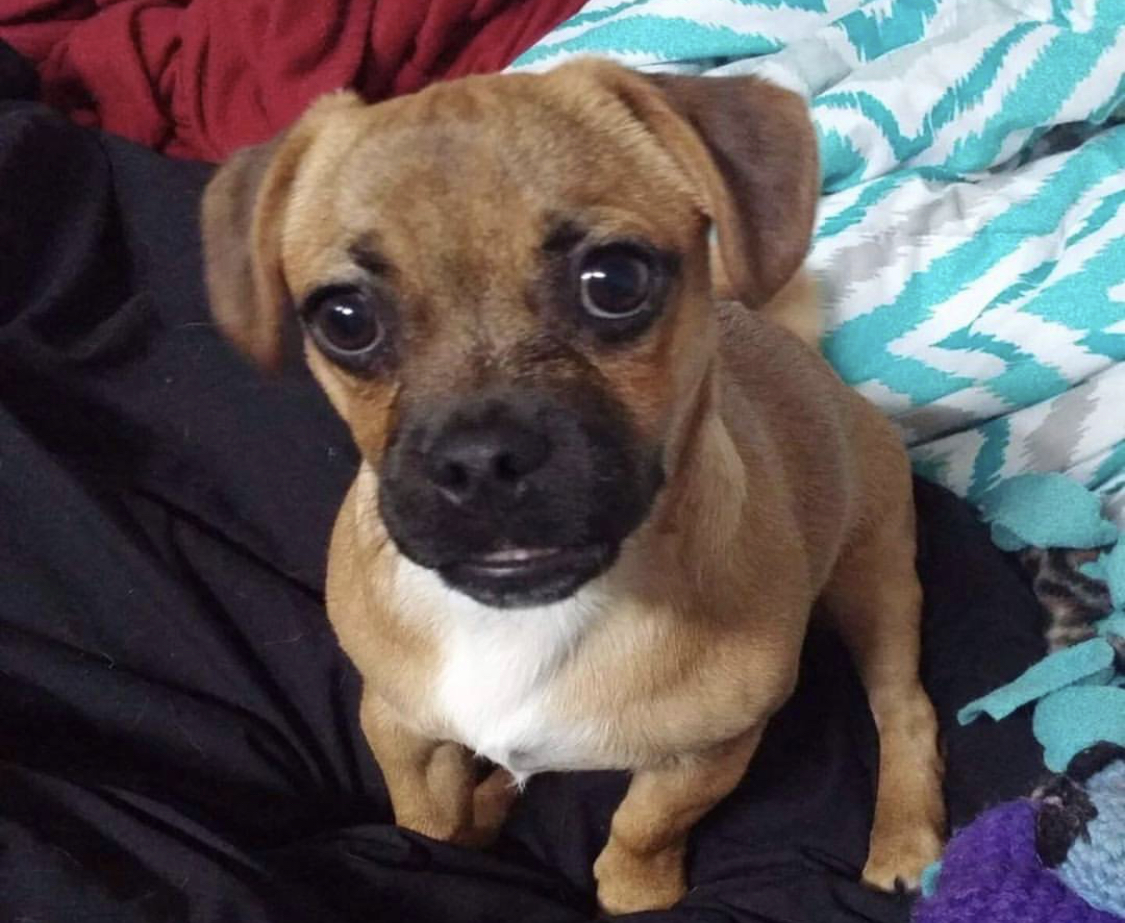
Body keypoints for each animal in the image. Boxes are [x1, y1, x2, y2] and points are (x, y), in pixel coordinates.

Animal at [198, 59, 945, 913]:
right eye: (343, 319)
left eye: (613, 280)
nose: (479, 460)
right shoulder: (401, 727)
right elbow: (428, 823)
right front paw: (449, 843)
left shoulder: (705, 752)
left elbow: (641, 829)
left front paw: (635, 892)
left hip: (875, 581)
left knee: (903, 708)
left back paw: (903, 837)